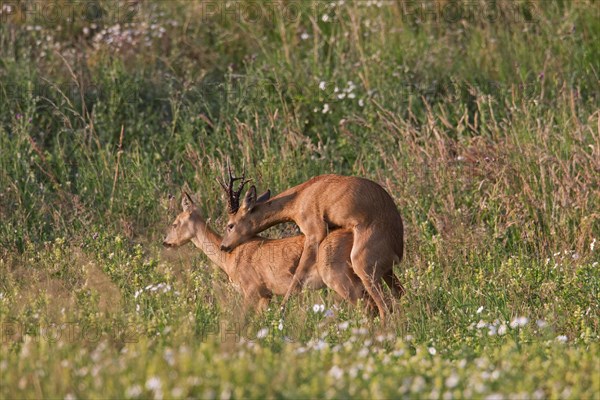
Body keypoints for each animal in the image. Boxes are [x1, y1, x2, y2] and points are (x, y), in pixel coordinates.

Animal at [162, 176, 366, 312]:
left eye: (175, 222)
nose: (165, 242)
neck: (229, 259)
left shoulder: (251, 290)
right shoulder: (266, 295)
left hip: (339, 276)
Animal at [218, 173, 406, 320]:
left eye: (230, 225)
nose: (223, 246)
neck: (300, 197)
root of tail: (398, 249)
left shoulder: (314, 234)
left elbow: (298, 274)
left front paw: (281, 312)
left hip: (363, 267)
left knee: (385, 308)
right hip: (386, 272)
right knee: (399, 295)